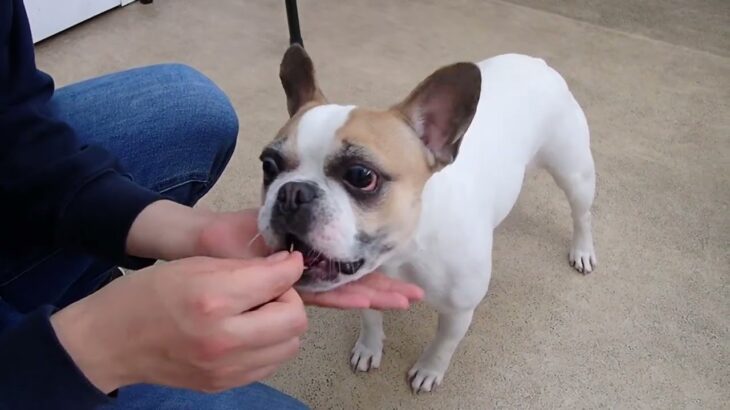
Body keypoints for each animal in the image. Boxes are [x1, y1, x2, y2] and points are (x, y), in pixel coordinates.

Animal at [258, 45, 596, 394]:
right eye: (268, 166)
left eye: (361, 175)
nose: (292, 192)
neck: (406, 250)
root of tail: (536, 62)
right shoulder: (366, 286)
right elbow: (370, 319)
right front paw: (369, 347)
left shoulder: (459, 311)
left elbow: (443, 344)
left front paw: (429, 370)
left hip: (574, 173)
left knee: (581, 213)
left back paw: (582, 250)